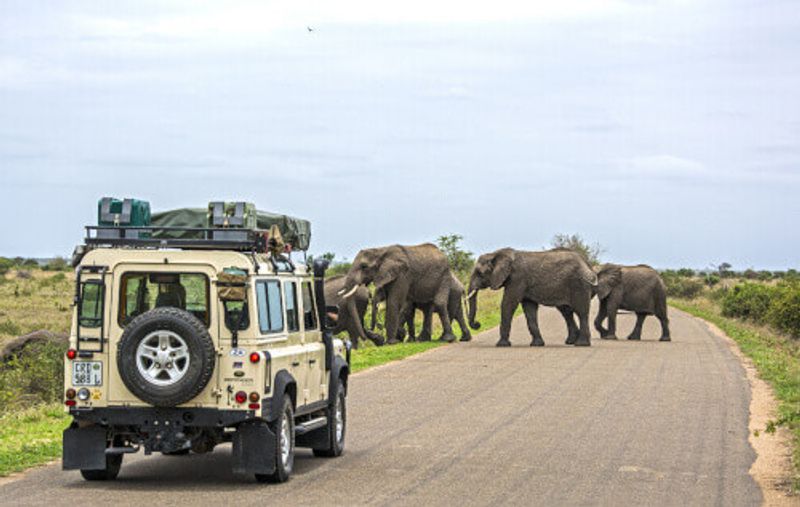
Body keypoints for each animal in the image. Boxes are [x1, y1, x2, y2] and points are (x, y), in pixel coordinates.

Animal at [466, 248, 596, 348]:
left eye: (480, 273)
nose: (477, 324)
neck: (496, 254)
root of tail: (588, 266)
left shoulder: (517, 279)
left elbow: (508, 304)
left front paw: (501, 345)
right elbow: (529, 310)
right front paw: (537, 344)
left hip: (579, 284)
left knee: (581, 312)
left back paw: (581, 344)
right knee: (567, 312)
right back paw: (572, 341)